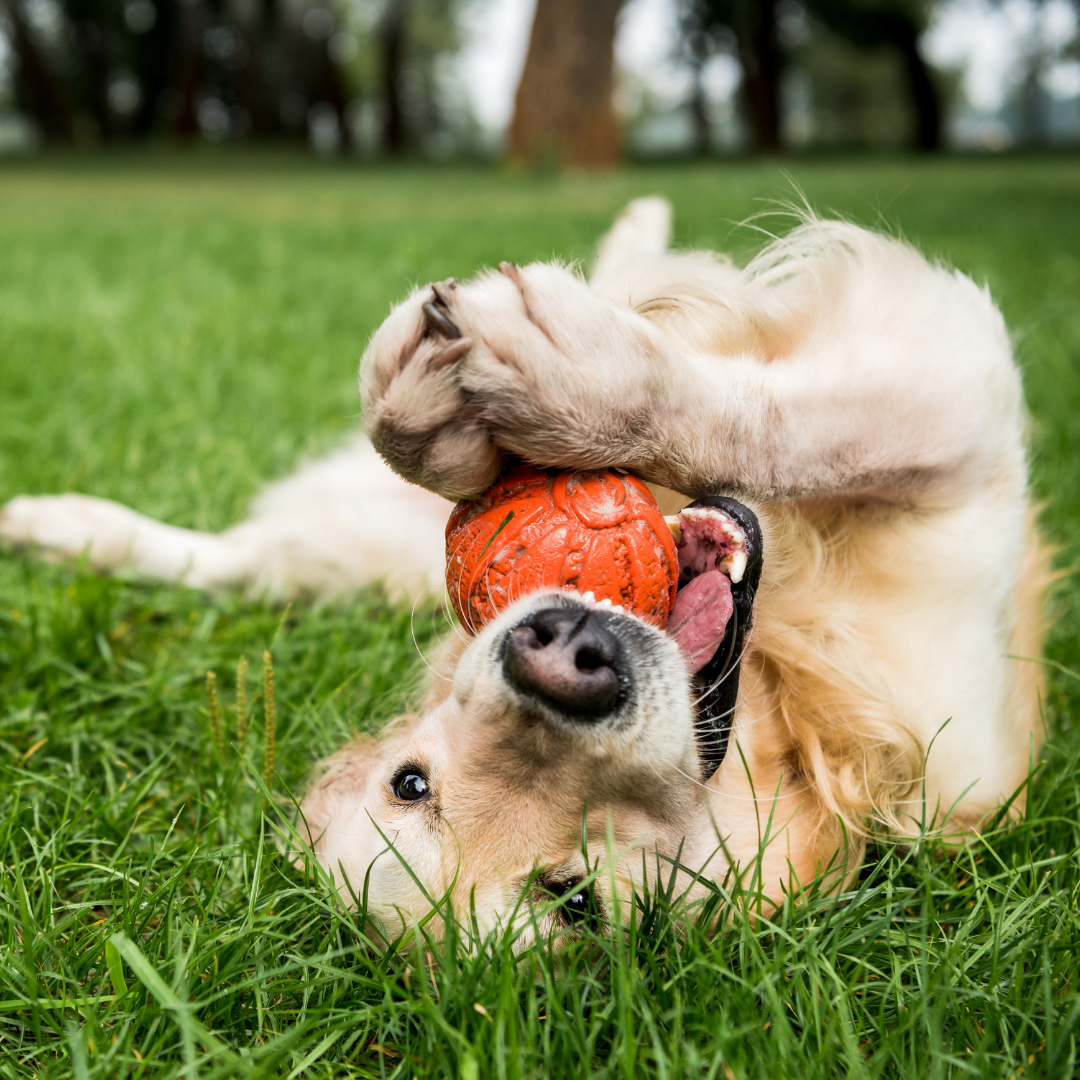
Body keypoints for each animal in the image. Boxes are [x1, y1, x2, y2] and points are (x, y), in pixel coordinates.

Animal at [0, 198, 1045, 941]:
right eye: (413, 782)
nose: (563, 654)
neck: (784, 703)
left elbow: (780, 420)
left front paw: (546, 386)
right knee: (240, 561)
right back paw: (57, 528)